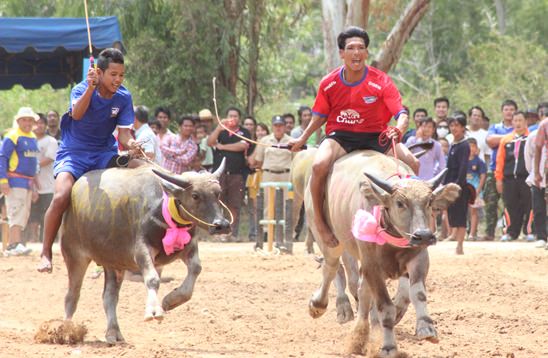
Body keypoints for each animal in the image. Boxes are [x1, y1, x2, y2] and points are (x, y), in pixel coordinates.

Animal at [61, 160, 230, 344]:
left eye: (218, 193)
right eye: (195, 195)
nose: (222, 225)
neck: (163, 211)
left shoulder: (188, 247)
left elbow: (196, 269)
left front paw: (171, 301)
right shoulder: (141, 251)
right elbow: (153, 279)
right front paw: (153, 311)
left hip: (113, 262)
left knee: (109, 296)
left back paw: (113, 332)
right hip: (74, 254)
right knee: (72, 295)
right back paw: (66, 330)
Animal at [302, 150, 460, 356]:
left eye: (429, 202)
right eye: (400, 203)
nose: (424, 235)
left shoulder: (418, 258)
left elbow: (417, 294)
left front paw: (426, 328)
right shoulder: (372, 266)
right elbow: (385, 307)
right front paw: (388, 347)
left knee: (361, 291)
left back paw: (361, 335)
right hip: (328, 239)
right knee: (332, 268)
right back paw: (323, 306)